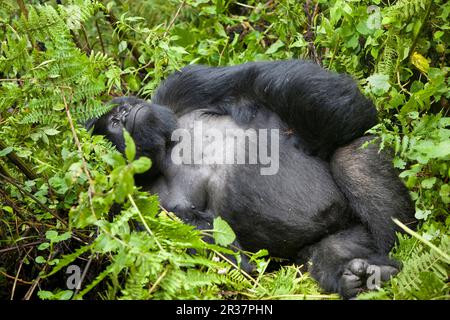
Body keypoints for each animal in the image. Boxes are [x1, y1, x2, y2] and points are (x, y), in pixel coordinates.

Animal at [89, 59, 416, 298]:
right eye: (114, 124)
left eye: (119, 110)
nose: (126, 112)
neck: (165, 153)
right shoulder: (143, 208)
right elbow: (230, 260)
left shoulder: (179, 88)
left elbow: (261, 83)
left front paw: (312, 139)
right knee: (324, 253)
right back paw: (357, 275)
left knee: (352, 157)